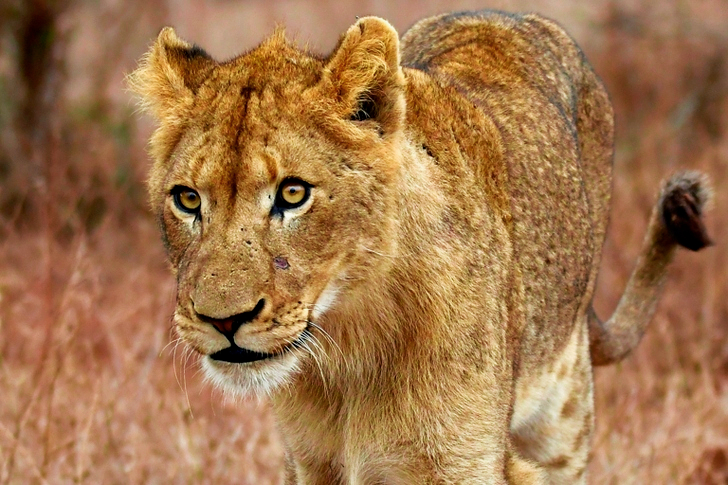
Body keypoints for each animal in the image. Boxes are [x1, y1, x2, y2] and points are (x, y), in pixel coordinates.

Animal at [129, 10, 712, 484]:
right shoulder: (309, 463)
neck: (347, 350)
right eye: (187, 199)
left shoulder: (466, 463)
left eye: (293, 193)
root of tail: (508, 15)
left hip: (563, 424)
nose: (222, 320)